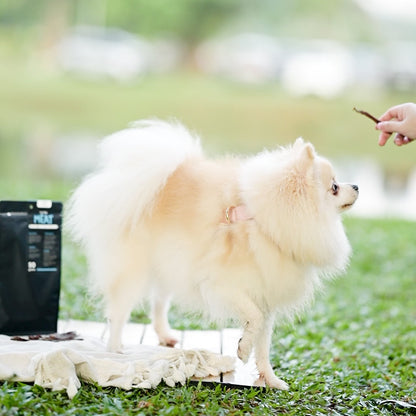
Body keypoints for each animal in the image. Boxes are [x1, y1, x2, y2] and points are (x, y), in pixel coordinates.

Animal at [67, 120, 358, 390]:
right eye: (334, 187)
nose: (355, 185)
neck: (263, 222)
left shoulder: (265, 293)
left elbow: (263, 343)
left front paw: (270, 378)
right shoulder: (222, 285)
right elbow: (253, 319)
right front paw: (242, 349)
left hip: (171, 264)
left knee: (158, 302)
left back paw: (165, 334)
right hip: (134, 270)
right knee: (119, 312)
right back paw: (116, 348)